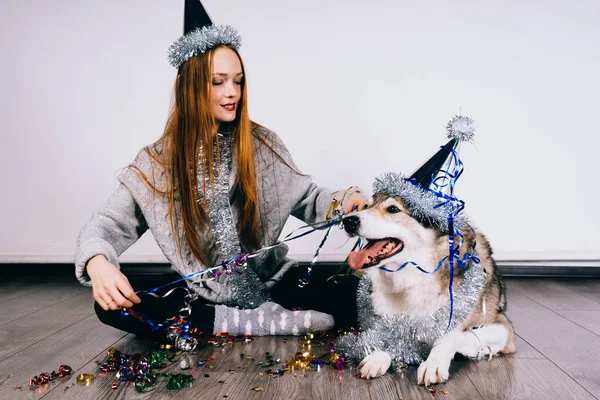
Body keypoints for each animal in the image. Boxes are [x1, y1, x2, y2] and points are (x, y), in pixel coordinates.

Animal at [342, 192, 516, 386]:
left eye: (393, 209)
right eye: (365, 206)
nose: (347, 221)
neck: (416, 279)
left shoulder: (503, 329)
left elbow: (452, 335)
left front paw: (434, 362)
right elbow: (394, 337)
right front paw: (378, 357)